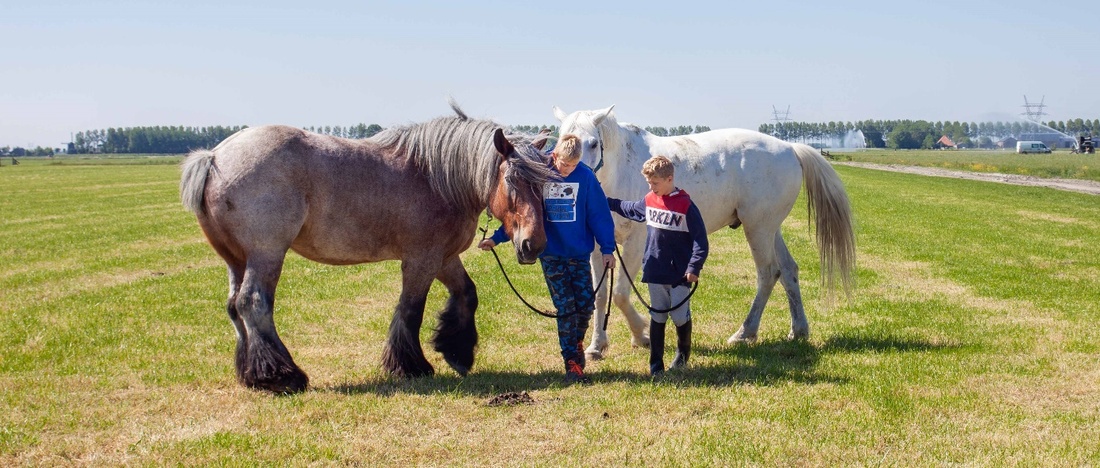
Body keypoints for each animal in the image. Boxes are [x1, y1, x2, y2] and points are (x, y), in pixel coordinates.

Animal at [184, 104, 558, 392]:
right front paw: (411, 366)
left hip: (236, 258)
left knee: (234, 307)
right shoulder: (421, 260)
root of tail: (214, 156)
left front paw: (457, 352)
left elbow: (467, 294)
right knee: (254, 303)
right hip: (266, 254)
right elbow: (410, 309)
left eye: (544, 183)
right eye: (511, 181)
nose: (534, 244)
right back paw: (281, 376)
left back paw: (251, 374)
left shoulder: (444, 258)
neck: (436, 178)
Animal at [554, 105, 853, 356]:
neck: (621, 172)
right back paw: (798, 329)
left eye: (593, 143)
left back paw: (745, 333)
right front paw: (596, 346)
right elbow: (599, 295)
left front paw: (641, 335)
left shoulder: (635, 245)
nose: (572, 175)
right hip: (770, 229)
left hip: (758, 229)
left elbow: (619, 294)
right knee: (789, 271)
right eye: (559, 142)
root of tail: (790, 147)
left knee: (768, 273)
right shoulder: (598, 247)